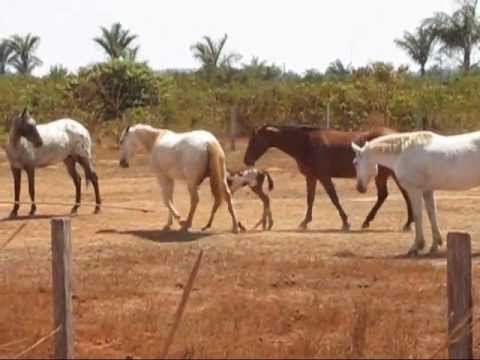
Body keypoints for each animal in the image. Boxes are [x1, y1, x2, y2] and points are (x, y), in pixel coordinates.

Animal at [244, 124, 412, 231]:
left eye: (254, 140)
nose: (246, 160)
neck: (306, 144)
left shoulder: (324, 176)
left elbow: (333, 198)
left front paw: (346, 222)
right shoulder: (311, 177)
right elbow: (310, 199)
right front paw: (304, 222)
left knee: (399, 195)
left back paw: (404, 223)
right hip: (385, 175)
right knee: (389, 195)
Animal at [352, 129, 480, 256]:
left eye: (355, 163)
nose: (359, 187)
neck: (402, 154)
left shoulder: (414, 190)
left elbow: (418, 215)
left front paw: (416, 246)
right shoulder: (427, 191)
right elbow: (432, 215)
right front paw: (435, 245)